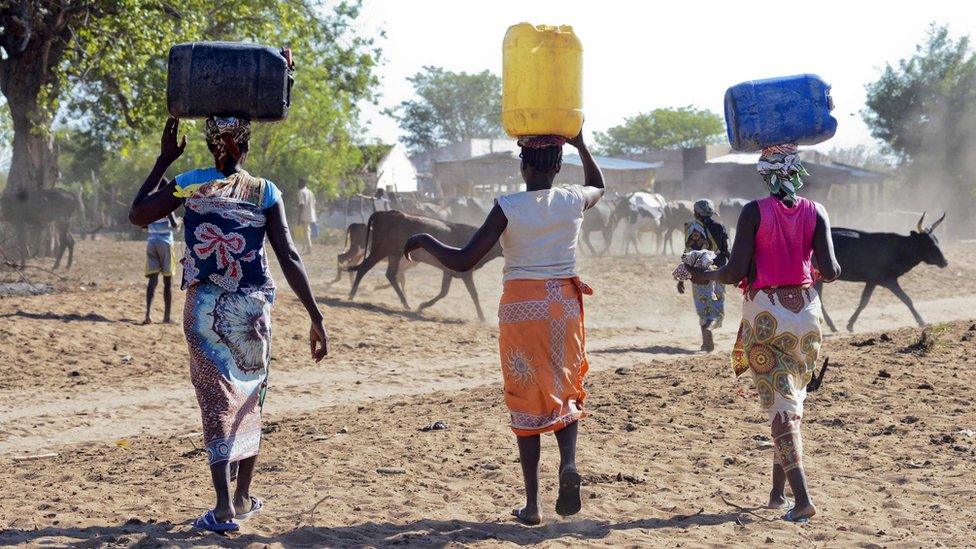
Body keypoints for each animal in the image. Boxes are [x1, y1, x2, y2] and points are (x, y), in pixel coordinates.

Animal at [348, 210, 500, 322]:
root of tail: (381, 213)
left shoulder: (448, 272)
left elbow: (444, 292)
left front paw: (422, 306)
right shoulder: (465, 273)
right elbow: (474, 294)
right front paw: (482, 317)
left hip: (394, 254)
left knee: (390, 274)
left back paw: (405, 302)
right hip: (380, 251)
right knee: (364, 268)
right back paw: (352, 294)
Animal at [812, 212, 948, 332]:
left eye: (937, 240)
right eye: (928, 243)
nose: (945, 262)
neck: (898, 249)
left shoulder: (873, 281)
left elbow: (864, 301)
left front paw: (850, 324)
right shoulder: (886, 279)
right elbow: (906, 299)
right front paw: (921, 321)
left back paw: (832, 326)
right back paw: (832, 326)